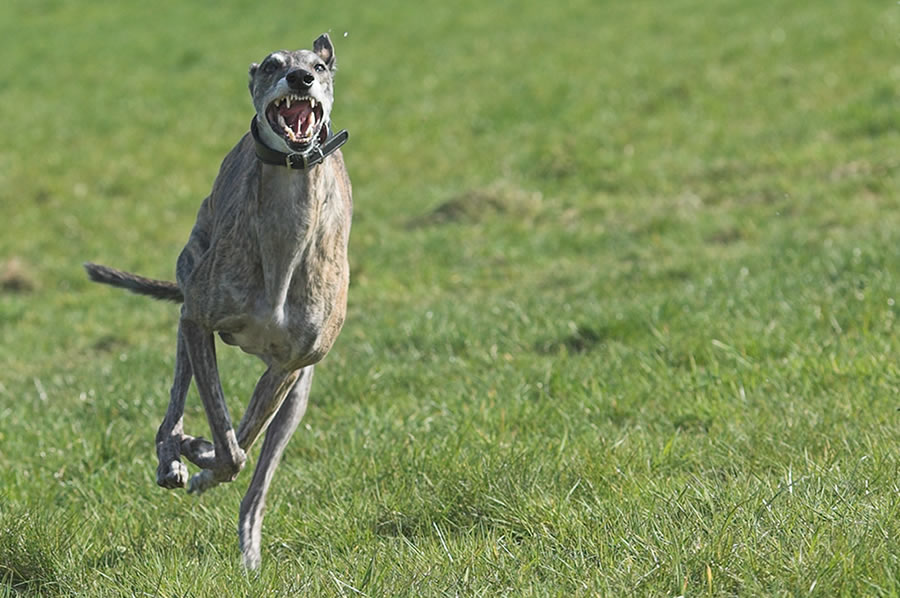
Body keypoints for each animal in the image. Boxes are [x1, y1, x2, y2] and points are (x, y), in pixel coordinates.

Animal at [84, 34, 350, 572]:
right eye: (271, 65)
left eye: (318, 67)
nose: (299, 78)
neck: (284, 234)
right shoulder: (198, 319)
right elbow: (225, 437)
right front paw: (193, 450)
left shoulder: (289, 365)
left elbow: (241, 443)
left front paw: (205, 459)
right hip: (190, 292)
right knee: (174, 404)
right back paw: (172, 456)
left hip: (300, 390)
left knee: (259, 471)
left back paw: (247, 543)